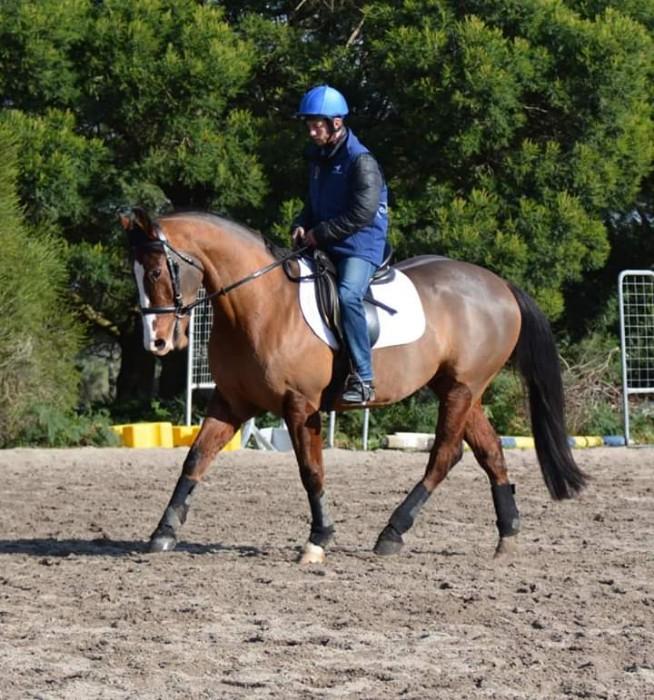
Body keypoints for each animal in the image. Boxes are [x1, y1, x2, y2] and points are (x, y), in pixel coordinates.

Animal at [121, 207, 587, 564]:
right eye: (137, 274)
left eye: (159, 271)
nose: (155, 342)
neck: (259, 305)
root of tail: (499, 285)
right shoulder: (230, 403)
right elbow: (195, 460)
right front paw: (163, 531)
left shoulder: (300, 406)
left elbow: (311, 471)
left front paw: (318, 540)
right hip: (459, 389)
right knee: (488, 452)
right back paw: (506, 535)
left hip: (462, 390)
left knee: (443, 456)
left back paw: (392, 533)